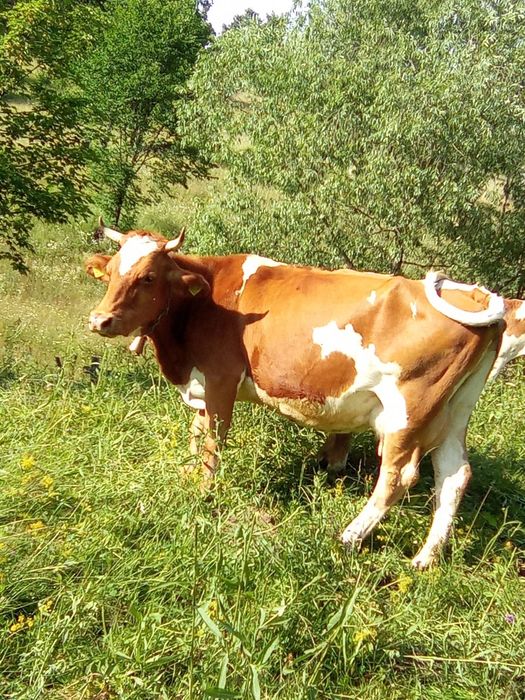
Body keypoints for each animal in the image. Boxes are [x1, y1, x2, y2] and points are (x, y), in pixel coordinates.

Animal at [86, 221, 505, 569]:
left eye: (148, 277)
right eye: (111, 272)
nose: (99, 320)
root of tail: (474, 297)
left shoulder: (221, 380)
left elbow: (212, 442)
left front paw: (204, 492)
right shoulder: (202, 384)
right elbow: (196, 432)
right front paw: (188, 474)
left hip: (410, 409)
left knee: (398, 476)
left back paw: (349, 536)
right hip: (455, 409)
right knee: (453, 476)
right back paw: (425, 559)